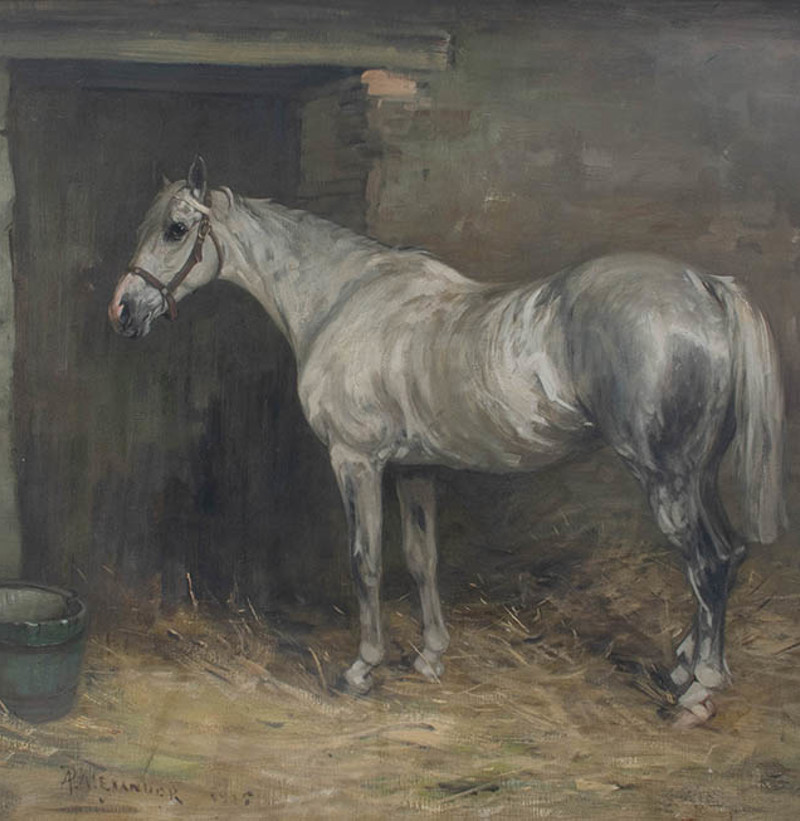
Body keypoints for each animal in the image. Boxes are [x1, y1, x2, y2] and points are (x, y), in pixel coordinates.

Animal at [108, 157, 786, 727]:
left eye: (175, 229)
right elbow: (422, 558)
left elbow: (366, 560)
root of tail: (706, 286)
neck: (344, 300)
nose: (122, 311)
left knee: (708, 561)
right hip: (697, 473)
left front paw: (362, 668)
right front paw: (430, 656)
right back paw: (683, 666)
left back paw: (698, 690)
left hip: (666, 474)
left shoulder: (356, 461)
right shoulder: (416, 469)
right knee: (726, 557)